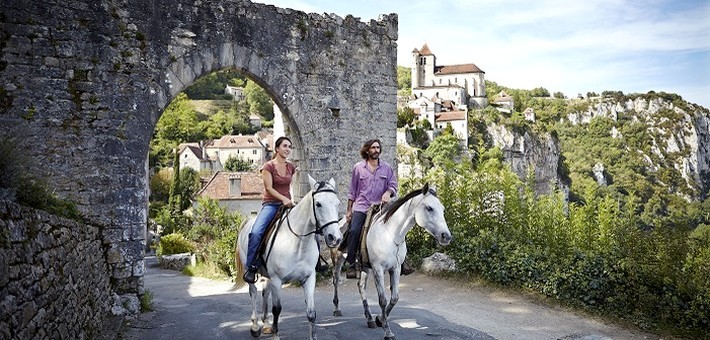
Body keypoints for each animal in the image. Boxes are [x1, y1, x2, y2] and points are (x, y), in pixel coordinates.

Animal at [236, 175, 342, 340]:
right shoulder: (277, 280)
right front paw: (275, 335)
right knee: (253, 292)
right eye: (318, 204)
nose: (335, 238)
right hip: (250, 270)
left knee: (265, 292)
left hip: (267, 275)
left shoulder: (309, 279)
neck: (298, 243)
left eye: (337, 203)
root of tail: (248, 221)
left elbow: (311, 313)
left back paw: (266, 324)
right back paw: (255, 326)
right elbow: (277, 309)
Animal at [330, 185, 454, 338]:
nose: (446, 236)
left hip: (365, 267)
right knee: (336, 280)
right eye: (429, 208)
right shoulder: (378, 269)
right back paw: (337, 309)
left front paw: (379, 319)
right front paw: (388, 332)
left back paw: (369, 318)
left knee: (361, 286)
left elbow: (394, 298)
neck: (390, 234)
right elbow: (383, 300)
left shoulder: (395, 268)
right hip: (338, 259)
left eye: (442, 209)